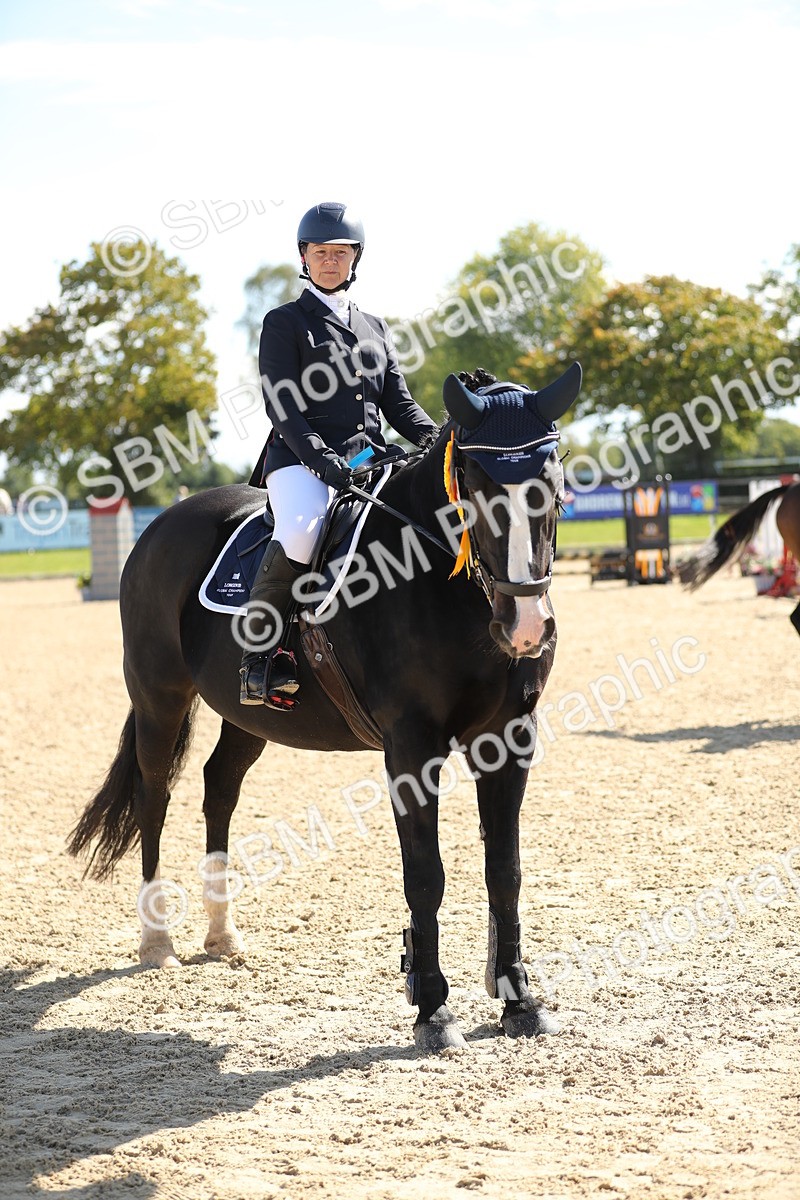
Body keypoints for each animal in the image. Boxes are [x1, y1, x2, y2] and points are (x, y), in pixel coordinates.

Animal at [68, 363, 582, 1052]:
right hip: (160, 697)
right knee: (155, 795)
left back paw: (222, 935)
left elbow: (505, 868)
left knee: (217, 787)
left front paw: (520, 1001)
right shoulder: (411, 746)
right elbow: (426, 874)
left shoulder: (509, 737)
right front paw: (432, 1010)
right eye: (474, 483)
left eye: (553, 478)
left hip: (249, 715)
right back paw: (158, 941)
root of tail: (163, 524)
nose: (527, 628)